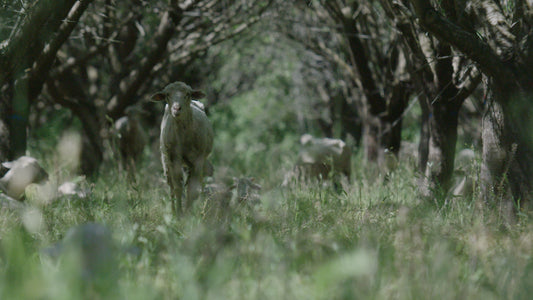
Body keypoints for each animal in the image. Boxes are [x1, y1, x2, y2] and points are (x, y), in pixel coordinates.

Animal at [151, 81, 213, 213]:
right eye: (167, 94)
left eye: (188, 94)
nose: (176, 108)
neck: (183, 137)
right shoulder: (174, 158)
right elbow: (178, 188)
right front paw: (179, 214)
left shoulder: (199, 159)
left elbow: (193, 189)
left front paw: (188, 212)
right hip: (166, 160)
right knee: (171, 186)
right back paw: (174, 210)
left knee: (195, 184)